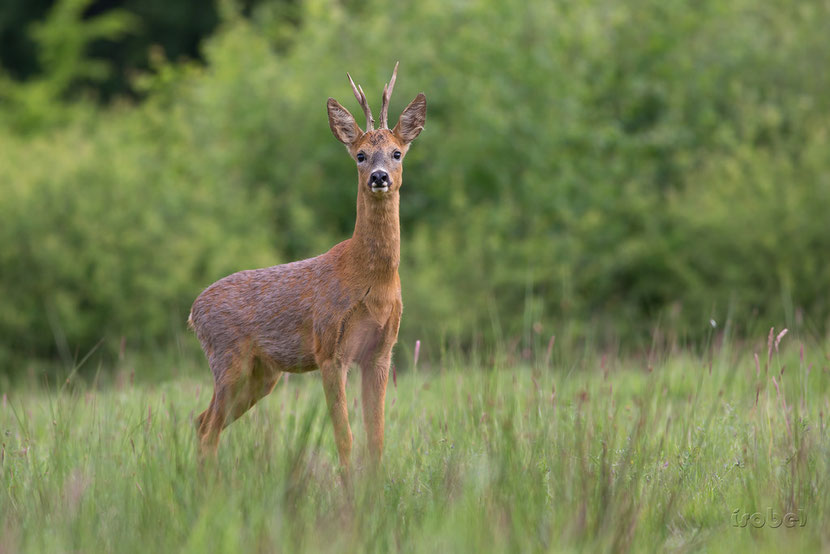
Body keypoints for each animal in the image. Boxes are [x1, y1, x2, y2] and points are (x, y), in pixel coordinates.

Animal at [189, 63, 428, 470]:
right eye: (360, 155)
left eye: (397, 153)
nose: (379, 177)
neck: (370, 279)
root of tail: (193, 311)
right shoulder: (329, 348)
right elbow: (345, 439)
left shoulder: (381, 353)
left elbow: (377, 440)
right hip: (229, 359)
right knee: (206, 428)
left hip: (262, 374)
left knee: (203, 422)